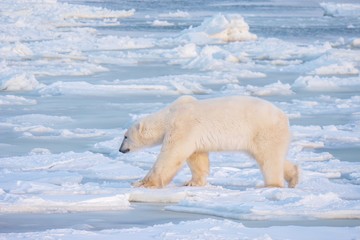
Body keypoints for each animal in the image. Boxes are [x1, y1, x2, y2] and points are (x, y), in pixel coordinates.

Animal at [119, 94, 300, 188]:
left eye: (125, 136)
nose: (120, 149)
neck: (169, 114)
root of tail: (284, 118)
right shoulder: (192, 135)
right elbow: (197, 157)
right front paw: (192, 182)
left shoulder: (182, 127)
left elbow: (171, 155)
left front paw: (142, 183)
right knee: (273, 157)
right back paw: (293, 177)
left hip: (263, 131)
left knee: (268, 159)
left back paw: (270, 185)